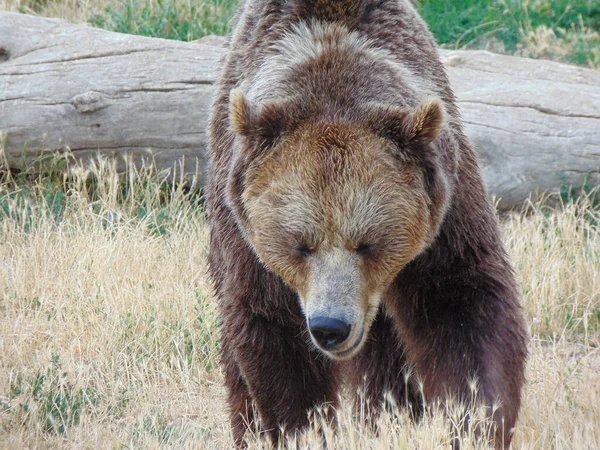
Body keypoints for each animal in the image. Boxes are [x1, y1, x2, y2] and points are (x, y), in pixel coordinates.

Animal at [205, 1, 524, 448]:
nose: (330, 327)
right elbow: (273, 331)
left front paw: (474, 421)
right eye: (300, 245)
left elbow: (462, 303)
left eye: (368, 243)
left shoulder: (445, 211)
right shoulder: (247, 237)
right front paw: (305, 428)